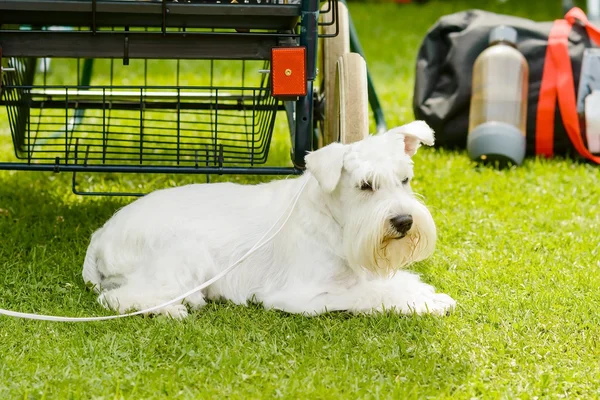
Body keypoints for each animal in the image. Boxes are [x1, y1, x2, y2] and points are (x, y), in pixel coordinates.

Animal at [81, 120, 454, 318]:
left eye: (404, 179)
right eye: (365, 185)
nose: (404, 222)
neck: (332, 221)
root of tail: (101, 233)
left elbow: (389, 282)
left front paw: (425, 293)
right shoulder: (302, 296)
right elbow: (370, 295)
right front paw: (419, 302)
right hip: (185, 255)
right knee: (118, 298)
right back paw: (171, 308)